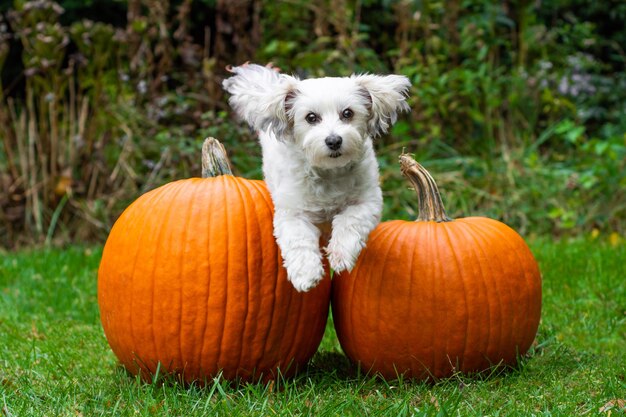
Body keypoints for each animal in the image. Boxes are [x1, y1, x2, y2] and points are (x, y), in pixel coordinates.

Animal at [223, 63, 410, 290]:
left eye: (347, 113)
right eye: (311, 117)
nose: (334, 141)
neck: (329, 171)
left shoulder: (368, 202)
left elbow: (350, 221)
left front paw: (341, 254)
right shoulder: (291, 213)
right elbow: (298, 240)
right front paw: (306, 273)